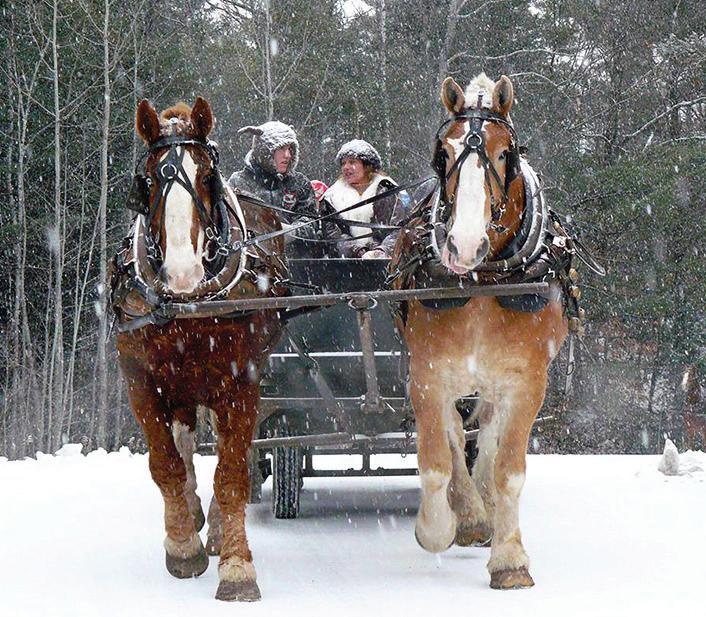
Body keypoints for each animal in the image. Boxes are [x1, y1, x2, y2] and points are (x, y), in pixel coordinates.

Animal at [111, 97, 286, 601]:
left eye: (207, 174)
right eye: (148, 179)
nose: (183, 272)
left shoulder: (242, 379)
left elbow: (232, 472)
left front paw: (237, 566)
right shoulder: (139, 378)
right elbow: (165, 464)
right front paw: (182, 546)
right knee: (185, 438)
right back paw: (189, 514)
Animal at [389, 73, 575, 589]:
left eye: (505, 153)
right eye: (443, 154)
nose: (464, 245)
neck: (483, 280)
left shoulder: (526, 380)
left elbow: (507, 468)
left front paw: (509, 558)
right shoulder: (427, 375)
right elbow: (436, 461)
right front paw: (438, 527)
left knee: (487, 440)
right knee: (456, 436)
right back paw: (469, 515)